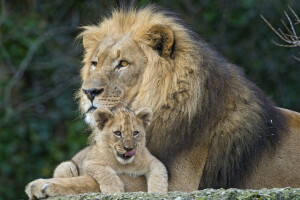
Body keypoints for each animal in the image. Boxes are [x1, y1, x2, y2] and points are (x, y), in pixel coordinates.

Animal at [25, 5, 300, 198]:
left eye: (123, 63)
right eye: (94, 63)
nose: (88, 92)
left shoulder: (179, 183)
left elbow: (106, 179)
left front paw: (44, 183)